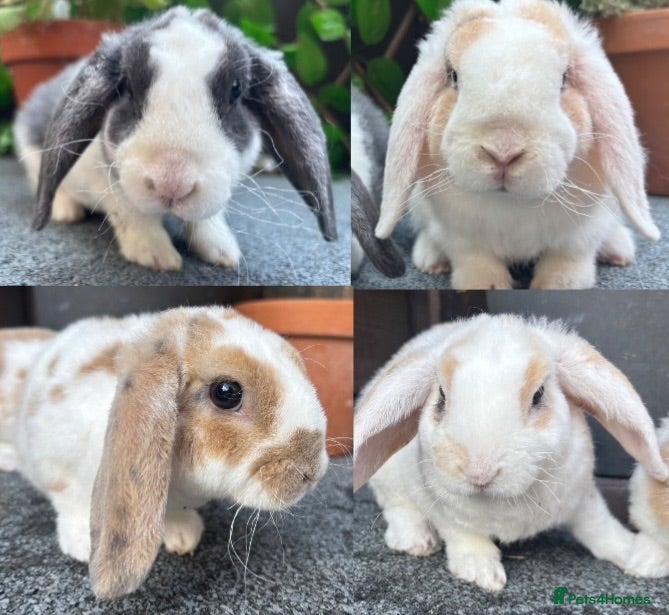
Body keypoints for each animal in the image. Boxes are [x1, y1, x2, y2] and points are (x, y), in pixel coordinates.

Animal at [0, 306, 328, 599]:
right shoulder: (55, 463)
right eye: (226, 392)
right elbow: (70, 501)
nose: (312, 470)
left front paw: (184, 534)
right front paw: (82, 544)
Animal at [13, 7, 336, 271]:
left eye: (236, 90)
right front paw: (157, 257)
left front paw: (222, 252)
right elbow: (132, 213)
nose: (172, 183)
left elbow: (205, 217)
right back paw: (66, 212)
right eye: (126, 86)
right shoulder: (110, 184)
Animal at [374, 0, 659, 289]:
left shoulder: (581, 234)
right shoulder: (460, 236)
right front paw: (484, 284)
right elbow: (476, 260)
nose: (503, 152)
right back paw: (431, 260)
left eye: (564, 78)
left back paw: (619, 251)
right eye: (452, 76)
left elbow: (567, 259)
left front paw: (560, 285)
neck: (511, 205)